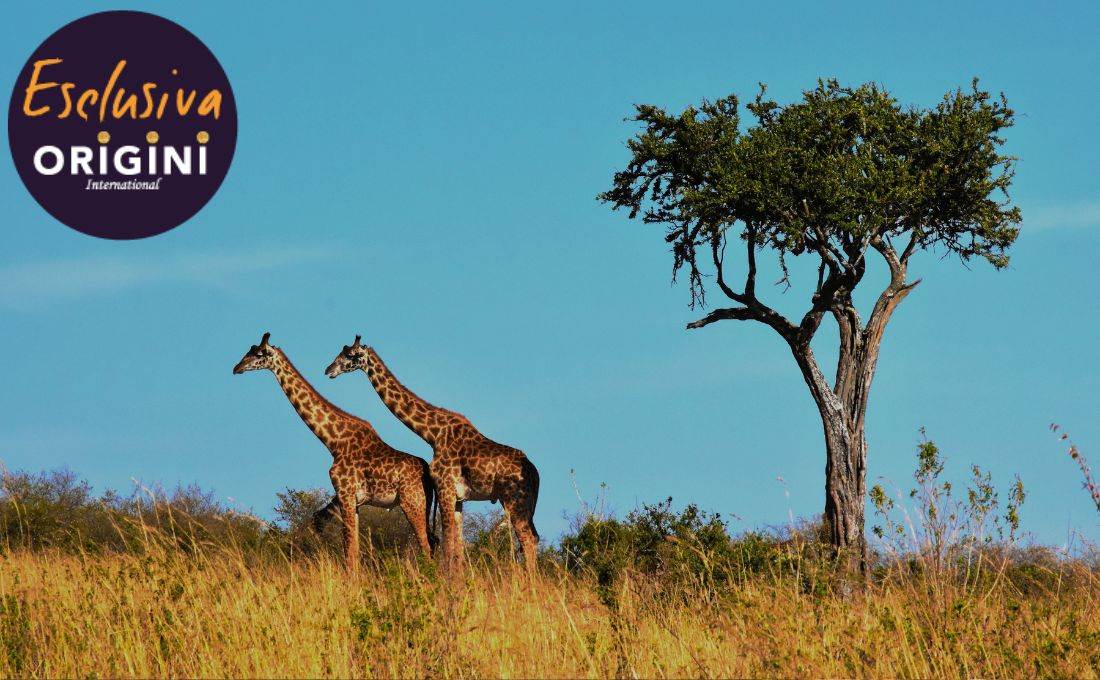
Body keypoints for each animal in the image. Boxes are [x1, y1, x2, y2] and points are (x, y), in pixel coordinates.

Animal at [233, 332, 436, 570]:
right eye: (249, 350)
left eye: (259, 354)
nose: (236, 367)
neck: (333, 441)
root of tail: (428, 475)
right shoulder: (350, 500)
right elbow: (350, 546)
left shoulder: (345, 494)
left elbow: (349, 550)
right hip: (423, 504)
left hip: (412, 501)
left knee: (426, 544)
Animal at [325, 336, 540, 575]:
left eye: (350, 354)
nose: (329, 370)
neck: (433, 434)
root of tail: (535, 474)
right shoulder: (457, 497)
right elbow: (457, 545)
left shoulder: (445, 487)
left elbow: (448, 542)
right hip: (527, 505)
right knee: (534, 538)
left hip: (513, 500)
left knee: (527, 539)